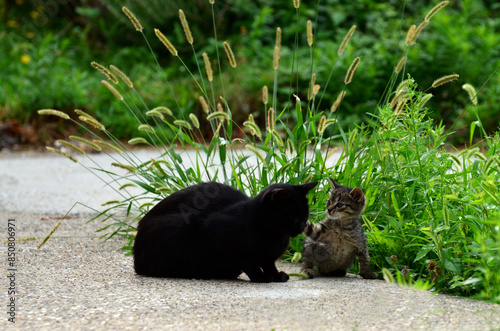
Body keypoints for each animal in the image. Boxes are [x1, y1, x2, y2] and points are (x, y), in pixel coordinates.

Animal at [133, 182, 316, 282]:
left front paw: (276, 276)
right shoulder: (218, 234)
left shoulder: (267, 257)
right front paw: (260, 277)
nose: (302, 225)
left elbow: (268, 264)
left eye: (305, 214)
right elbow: (248, 262)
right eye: (293, 216)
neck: (273, 235)